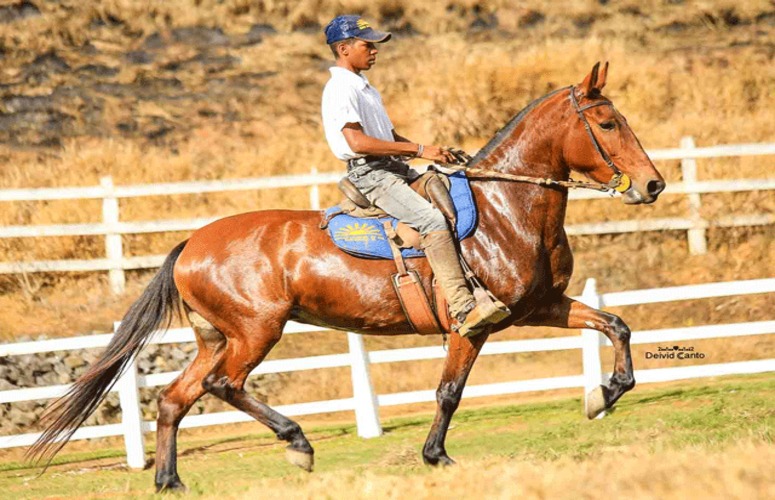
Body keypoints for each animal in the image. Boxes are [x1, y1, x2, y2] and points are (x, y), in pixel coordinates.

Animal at [30, 63, 668, 492]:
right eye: (607, 122)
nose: (653, 184)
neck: (504, 209)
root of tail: (192, 242)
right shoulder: (473, 327)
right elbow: (449, 391)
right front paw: (436, 457)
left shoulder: (542, 306)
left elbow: (617, 326)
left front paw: (601, 396)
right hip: (255, 332)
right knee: (222, 386)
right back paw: (297, 444)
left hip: (217, 337)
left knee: (173, 399)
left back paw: (171, 481)